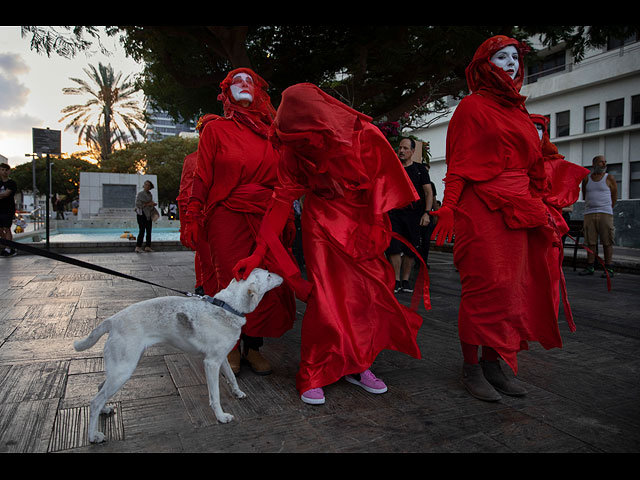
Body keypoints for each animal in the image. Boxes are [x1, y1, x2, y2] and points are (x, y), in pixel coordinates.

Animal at [73, 266, 282, 442]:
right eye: (268, 275)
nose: (281, 276)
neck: (227, 307)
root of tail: (112, 320)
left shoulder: (221, 358)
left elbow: (232, 377)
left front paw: (237, 392)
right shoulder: (211, 363)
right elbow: (215, 395)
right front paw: (221, 417)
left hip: (120, 367)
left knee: (100, 388)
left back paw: (104, 410)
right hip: (123, 370)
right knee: (94, 401)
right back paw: (93, 436)